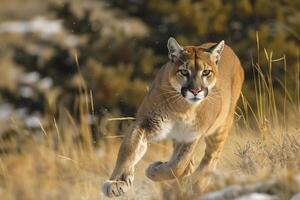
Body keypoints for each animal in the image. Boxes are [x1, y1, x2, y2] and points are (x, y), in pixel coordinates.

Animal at [102, 37, 244, 197]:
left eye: (206, 72)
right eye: (184, 71)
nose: (195, 90)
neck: (183, 107)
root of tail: (232, 52)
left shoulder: (194, 134)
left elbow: (179, 165)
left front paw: (154, 170)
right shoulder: (146, 122)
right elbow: (129, 149)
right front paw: (116, 182)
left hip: (221, 127)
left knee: (210, 159)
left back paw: (194, 186)